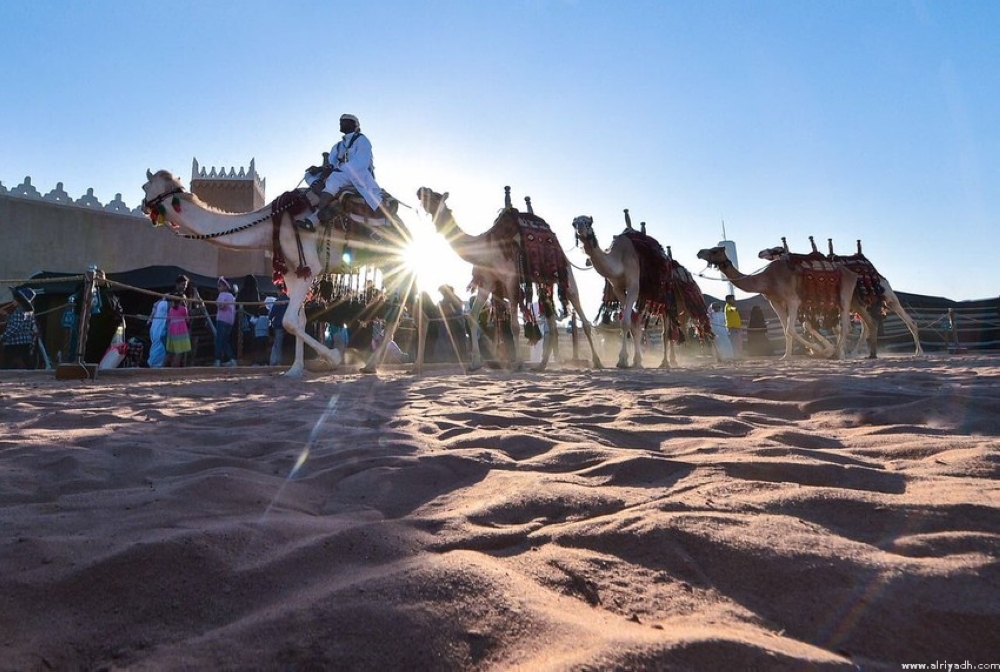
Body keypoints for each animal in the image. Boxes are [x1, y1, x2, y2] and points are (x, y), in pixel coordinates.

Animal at [414, 186, 600, 370]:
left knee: (578, 308)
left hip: (565, 271)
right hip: (542, 280)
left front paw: (518, 363)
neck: (486, 247)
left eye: (435, 195)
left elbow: (514, 325)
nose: (420, 190)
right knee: (550, 318)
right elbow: (472, 316)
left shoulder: (510, 279)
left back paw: (597, 361)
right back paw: (541, 365)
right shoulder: (487, 281)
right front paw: (475, 363)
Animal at [572, 214, 712, 368]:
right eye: (574, 223)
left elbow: (626, 322)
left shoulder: (634, 285)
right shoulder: (618, 289)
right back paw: (670, 360)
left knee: (669, 331)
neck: (619, 258)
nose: (580, 229)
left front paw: (623, 360)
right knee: (669, 330)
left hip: (675, 302)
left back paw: (667, 362)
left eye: (588, 222)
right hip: (667, 304)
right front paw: (635, 360)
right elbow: (633, 325)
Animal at [696, 245, 860, 360]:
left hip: (845, 293)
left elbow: (790, 329)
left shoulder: (793, 299)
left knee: (846, 325)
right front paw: (786, 356)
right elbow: (786, 330)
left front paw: (822, 350)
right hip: (833, 302)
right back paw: (839, 351)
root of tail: (852, 273)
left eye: (714, 251)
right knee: (840, 325)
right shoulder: (775, 301)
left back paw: (839, 354)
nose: (699, 252)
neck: (767, 279)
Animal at [756, 240, 920, 360]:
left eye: (777, 249)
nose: (761, 252)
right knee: (867, 326)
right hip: (860, 304)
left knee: (908, 321)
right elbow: (810, 326)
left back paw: (919, 353)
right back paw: (858, 353)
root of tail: (879, 275)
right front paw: (829, 350)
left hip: (888, 296)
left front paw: (831, 350)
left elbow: (828, 327)